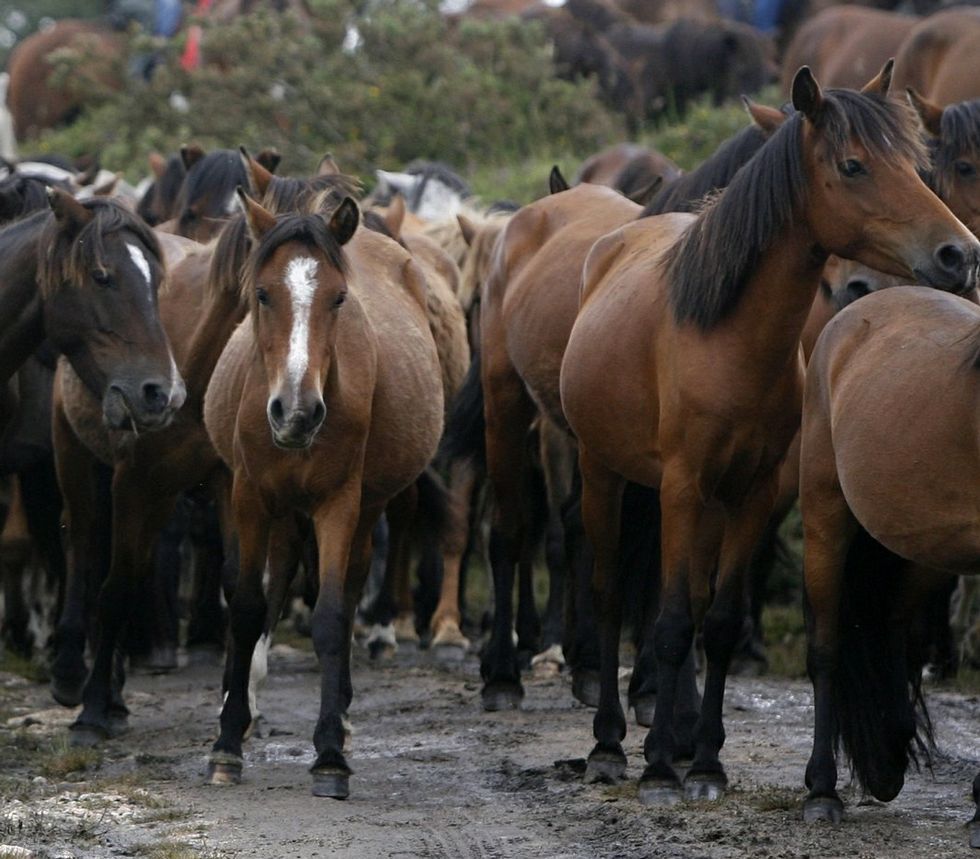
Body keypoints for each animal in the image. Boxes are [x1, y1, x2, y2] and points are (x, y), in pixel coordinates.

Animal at [205, 191, 442, 796]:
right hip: (283, 510)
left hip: (363, 507)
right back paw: (242, 703)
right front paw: (226, 744)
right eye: (262, 294)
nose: (296, 412)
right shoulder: (249, 496)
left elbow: (333, 614)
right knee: (276, 580)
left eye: (338, 298)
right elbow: (247, 606)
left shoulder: (340, 502)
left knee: (352, 584)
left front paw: (330, 751)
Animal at [800, 286, 980, 844]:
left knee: (895, 626)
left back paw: (891, 754)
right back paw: (822, 792)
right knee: (827, 649)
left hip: (921, 546)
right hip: (825, 516)